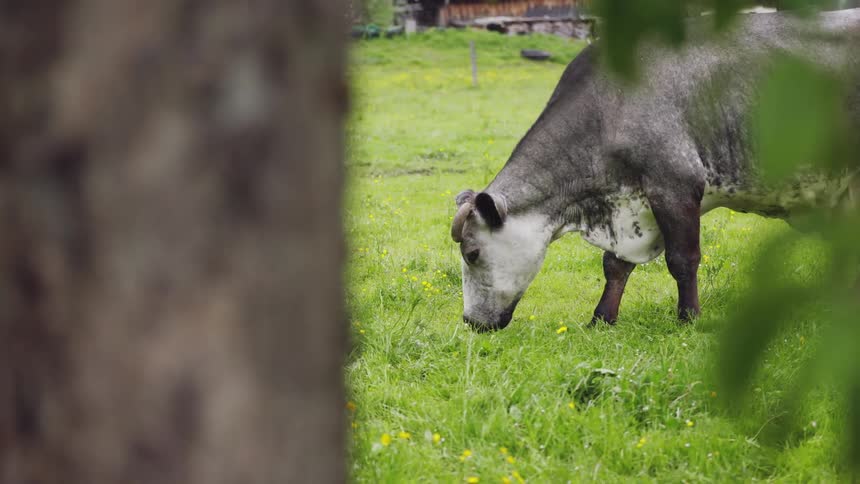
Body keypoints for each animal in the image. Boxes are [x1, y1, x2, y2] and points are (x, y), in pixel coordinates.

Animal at [451, 9, 860, 331]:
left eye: (472, 253)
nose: (470, 321)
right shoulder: (628, 203)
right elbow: (614, 266)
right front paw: (601, 318)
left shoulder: (675, 187)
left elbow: (682, 259)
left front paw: (689, 317)